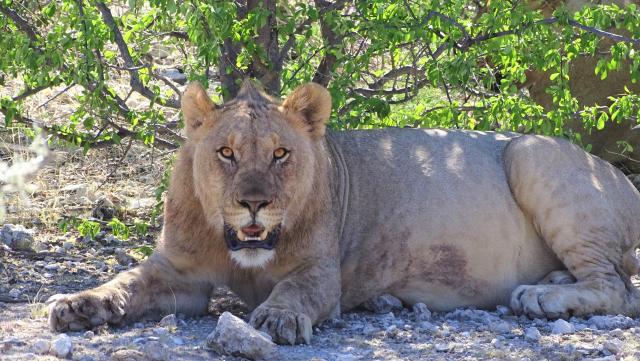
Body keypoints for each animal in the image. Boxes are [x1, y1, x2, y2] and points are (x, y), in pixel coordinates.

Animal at [47, 80, 640, 344]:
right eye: (227, 153)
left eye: (280, 154)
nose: (255, 203)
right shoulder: (179, 271)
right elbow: (125, 282)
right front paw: (76, 305)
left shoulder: (319, 271)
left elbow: (296, 291)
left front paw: (278, 319)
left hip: (530, 153)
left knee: (617, 288)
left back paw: (542, 297)